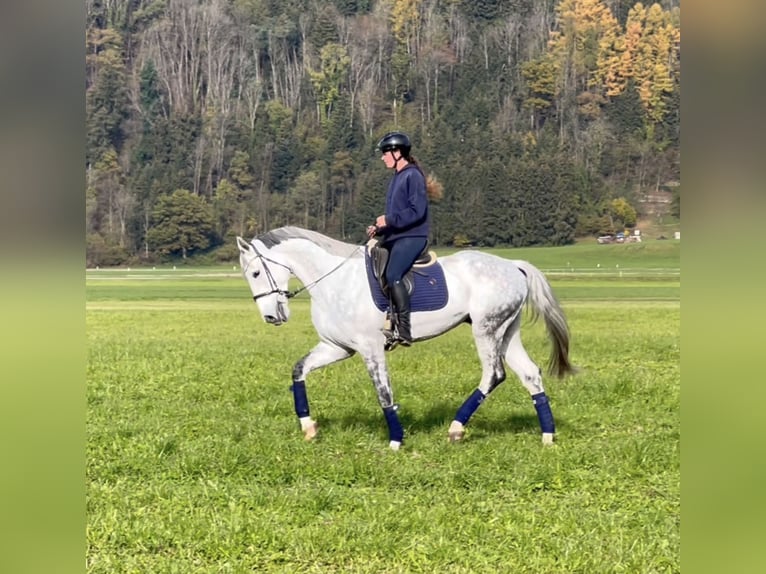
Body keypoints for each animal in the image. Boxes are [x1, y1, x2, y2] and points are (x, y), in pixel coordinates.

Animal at [236, 227, 576, 452]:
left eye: (255, 273)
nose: (271, 317)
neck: (334, 281)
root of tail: (513, 266)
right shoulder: (337, 348)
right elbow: (299, 370)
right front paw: (308, 427)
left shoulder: (370, 348)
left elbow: (384, 393)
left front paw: (395, 440)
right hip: (507, 331)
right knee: (530, 374)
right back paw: (547, 437)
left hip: (486, 329)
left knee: (493, 374)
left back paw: (456, 429)